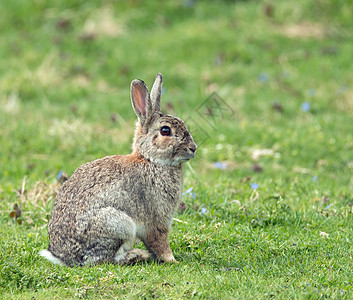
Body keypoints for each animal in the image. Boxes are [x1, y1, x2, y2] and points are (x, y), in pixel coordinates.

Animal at [40, 74, 198, 266]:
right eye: (165, 131)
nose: (193, 148)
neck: (151, 159)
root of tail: (64, 257)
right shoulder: (157, 221)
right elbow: (160, 243)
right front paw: (173, 260)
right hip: (119, 224)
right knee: (105, 259)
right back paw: (137, 255)